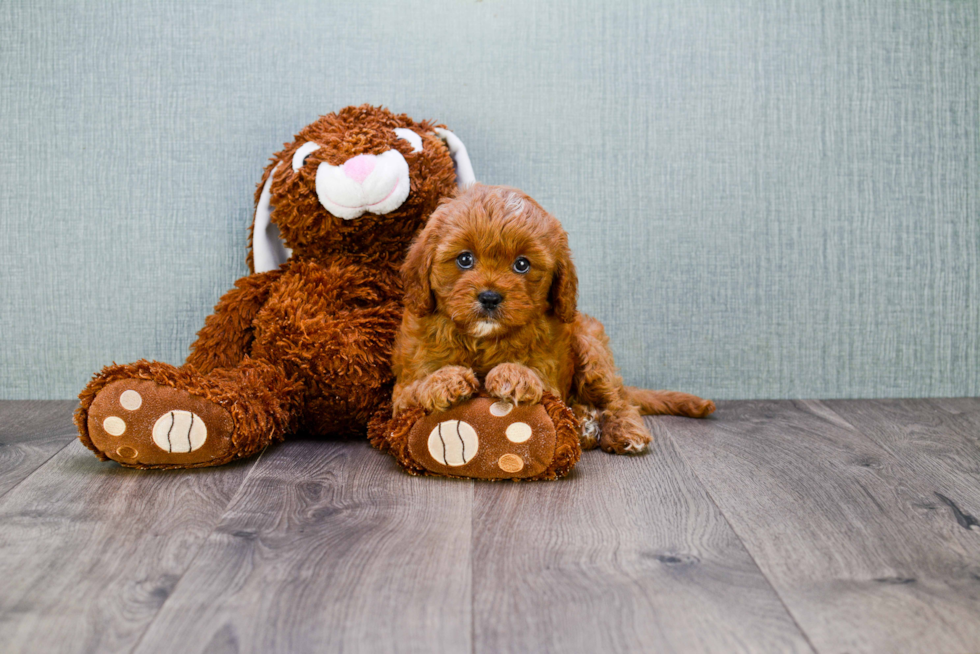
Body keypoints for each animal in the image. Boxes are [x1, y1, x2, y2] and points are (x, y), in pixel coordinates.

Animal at [388, 182, 712, 454]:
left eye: (522, 265)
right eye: (464, 259)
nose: (490, 297)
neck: (485, 339)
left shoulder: (552, 375)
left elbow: (540, 382)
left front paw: (514, 375)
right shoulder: (401, 391)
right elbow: (416, 386)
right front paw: (446, 379)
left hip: (591, 348)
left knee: (617, 400)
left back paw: (622, 432)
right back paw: (584, 423)